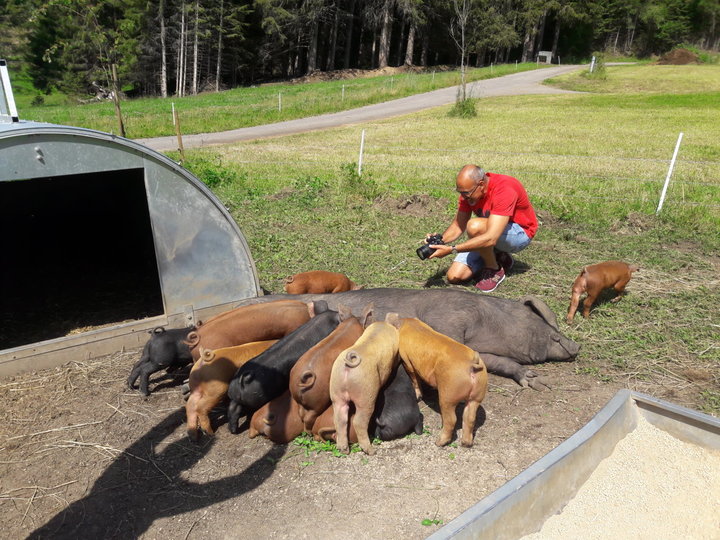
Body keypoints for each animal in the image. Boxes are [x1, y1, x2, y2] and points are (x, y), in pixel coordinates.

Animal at [233, 288, 584, 390]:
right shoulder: (451, 319)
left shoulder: (487, 351)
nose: (576, 346)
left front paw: (537, 382)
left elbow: (498, 362)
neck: (487, 323)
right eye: (553, 334)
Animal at [330, 314, 402, 454]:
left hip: (336, 390)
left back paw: (343, 449)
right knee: (358, 421)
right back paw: (371, 450)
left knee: (340, 419)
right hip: (366, 392)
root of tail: (348, 366)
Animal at [396, 316, 486, 448]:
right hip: (477, 395)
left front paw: (418, 397)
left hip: (448, 393)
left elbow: (414, 377)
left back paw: (438, 442)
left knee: (452, 419)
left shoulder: (406, 360)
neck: (409, 324)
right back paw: (466, 444)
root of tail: (472, 363)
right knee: (469, 418)